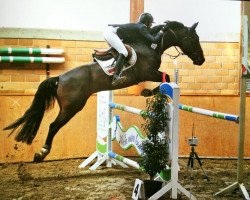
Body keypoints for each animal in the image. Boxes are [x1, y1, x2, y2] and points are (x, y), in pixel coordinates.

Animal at [3, 20, 205, 162]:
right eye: (194, 39)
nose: (201, 60)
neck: (151, 45)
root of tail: (59, 78)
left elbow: (167, 78)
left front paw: (149, 92)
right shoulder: (147, 72)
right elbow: (167, 78)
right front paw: (148, 92)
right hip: (71, 107)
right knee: (53, 126)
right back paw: (41, 153)